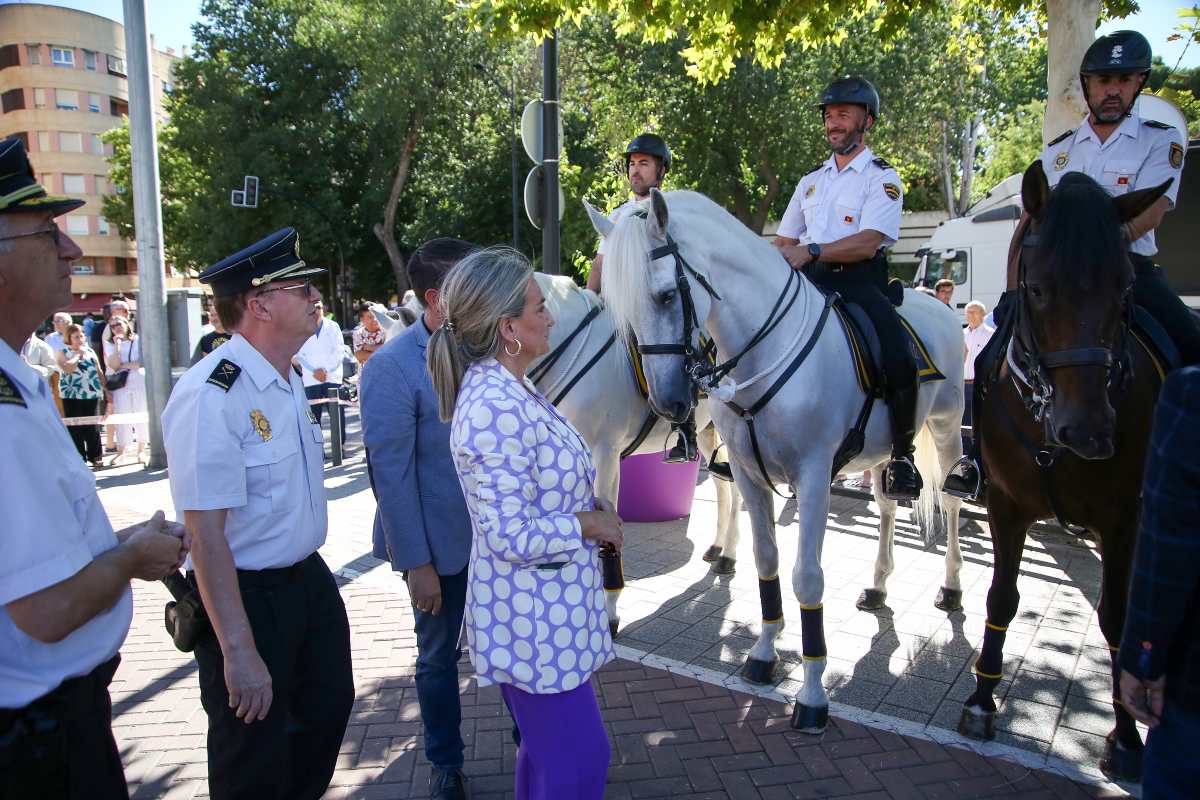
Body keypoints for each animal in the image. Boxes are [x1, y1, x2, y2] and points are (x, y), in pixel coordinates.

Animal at [372, 272, 739, 633]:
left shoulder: (605, 457)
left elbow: (608, 537)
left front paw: (608, 610)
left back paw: (729, 554)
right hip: (707, 431)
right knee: (724, 487)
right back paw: (718, 547)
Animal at [590, 190, 964, 734]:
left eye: (663, 296)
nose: (668, 402)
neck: (762, 353)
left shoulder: (813, 478)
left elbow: (807, 575)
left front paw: (811, 694)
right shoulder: (749, 475)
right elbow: (765, 560)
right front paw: (764, 655)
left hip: (948, 427)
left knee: (953, 505)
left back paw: (951, 587)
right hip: (885, 456)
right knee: (888, 506)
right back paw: (877, 586)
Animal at [960, 160, 1166, 782]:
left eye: (1125, 288)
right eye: (1037, 288)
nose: (1089, 433)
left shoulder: (1122, 520)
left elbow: (1117, 619)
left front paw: (1126, 737)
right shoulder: (1005, 505)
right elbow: (1001, 598)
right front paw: (982, 699)